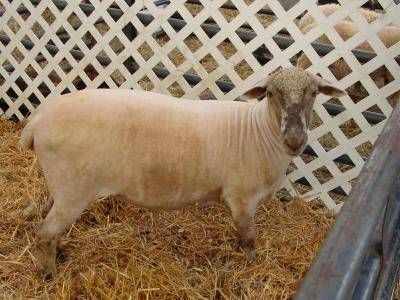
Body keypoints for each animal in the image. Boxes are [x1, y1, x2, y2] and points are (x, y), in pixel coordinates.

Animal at [20, 67, 344, 278]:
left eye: (314, 92)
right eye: (271, 94)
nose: (295, 139)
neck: (259, 131)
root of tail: (36, 122)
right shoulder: (242, 199)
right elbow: (248, 238)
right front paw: (250, 266)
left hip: (62, 186)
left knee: (47, 219)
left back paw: (59, 255)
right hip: (74, 189)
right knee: (44, 232)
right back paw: (49, 274)